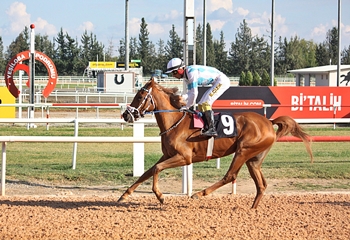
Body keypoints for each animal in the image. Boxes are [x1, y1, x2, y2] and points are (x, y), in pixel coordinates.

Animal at [119, 77, 314, 208]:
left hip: (243, 151)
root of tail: (268, 122)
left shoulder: (185, 157)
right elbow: (148, 171)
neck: (175, 122)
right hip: (254, 158)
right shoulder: (168, 154)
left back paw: (199, 194)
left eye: (139, 96)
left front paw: (160, 196)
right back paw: (252, 209)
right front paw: (124, 195)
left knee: (230, 176)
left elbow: (157, 169)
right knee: (261, 185)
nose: (126, 115)